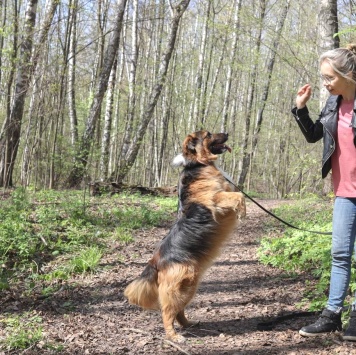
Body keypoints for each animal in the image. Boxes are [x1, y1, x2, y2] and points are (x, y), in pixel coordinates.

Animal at [124, 129, 246, 344]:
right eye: (208, 134)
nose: (227, 132)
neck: (197, 164)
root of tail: (155, 261)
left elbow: (238, 193)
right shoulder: (217, 200)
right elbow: (239, 196)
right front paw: (243, 212)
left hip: (188, 287)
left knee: (178, 310)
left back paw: (188, 324)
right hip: (180, 287)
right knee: (167, 312)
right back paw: (174, 336)